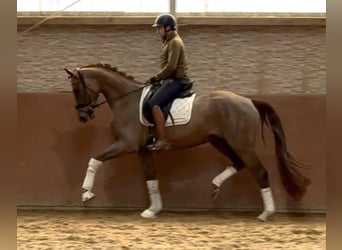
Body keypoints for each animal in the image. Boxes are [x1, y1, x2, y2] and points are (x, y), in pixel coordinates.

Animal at [63, 63, 310, 222]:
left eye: (75, 88)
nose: (83, 116)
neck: (126, 100)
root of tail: (249, 101)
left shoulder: (127, 144)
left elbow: (94, 159)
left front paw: (86, 193)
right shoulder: (143, 151)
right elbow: (151, 178)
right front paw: (153, 210)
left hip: (242, 145)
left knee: (260, 172)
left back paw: (266, 213)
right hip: (221, 141)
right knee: (238, 164)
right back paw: (215, 185)